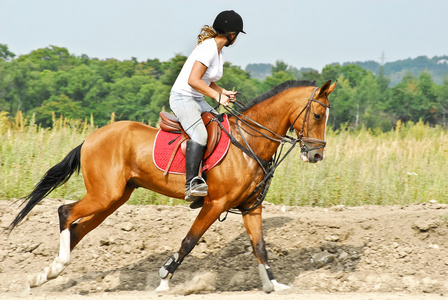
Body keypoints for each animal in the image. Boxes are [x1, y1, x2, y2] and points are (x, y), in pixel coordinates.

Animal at [7, 79, 336, 292]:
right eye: (318, 114)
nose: (316, 155)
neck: (249, 142)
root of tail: (90, 138)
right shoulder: (214, 204)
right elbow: (188, 242)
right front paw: (164, 279)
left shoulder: (250, 208)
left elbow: (260, 247)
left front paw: (273, 284)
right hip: (104, 195)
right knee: (65, 212)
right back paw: (56, 266)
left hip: (114, 199)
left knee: (77, 228)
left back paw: (46, 274)